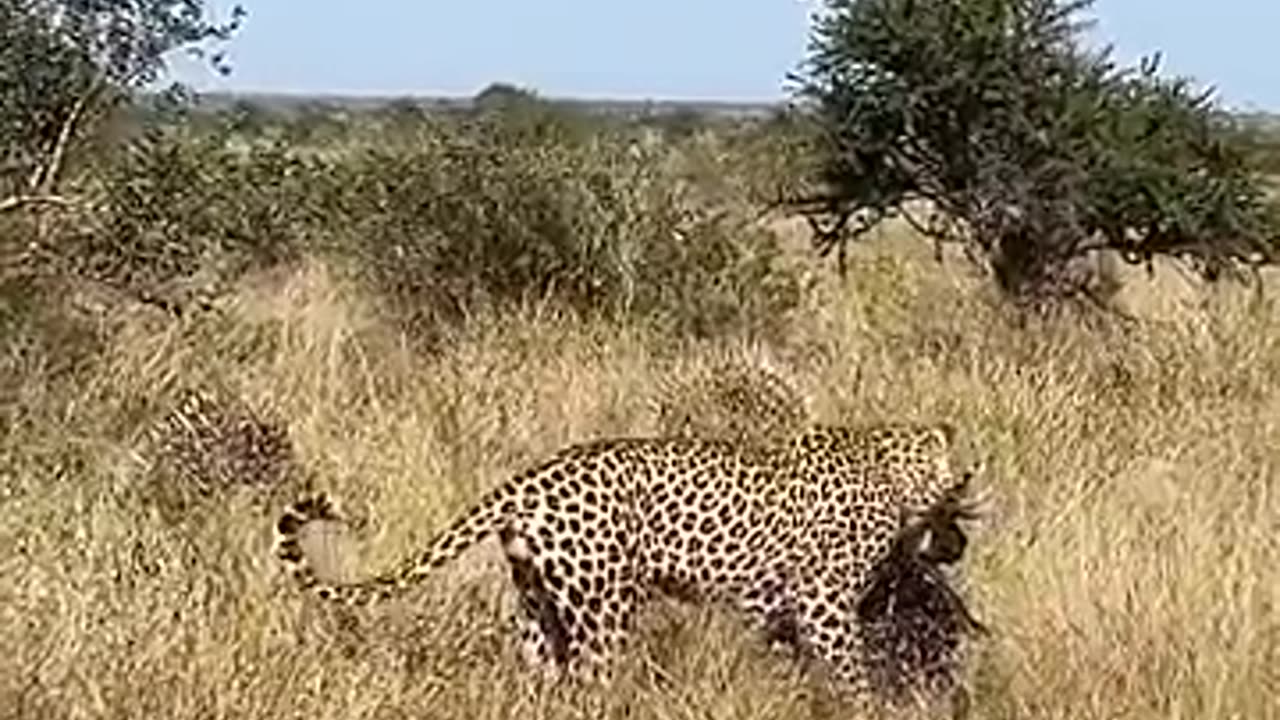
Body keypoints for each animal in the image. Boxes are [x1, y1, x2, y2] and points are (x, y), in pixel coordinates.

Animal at [272, 420, 977, 702]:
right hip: (605, 609)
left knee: (544, 682)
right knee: (592, 685)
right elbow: (853, 676)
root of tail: (532, 476)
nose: (961, 546)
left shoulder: (781, 613)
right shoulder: (824, 607)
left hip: (540, 609)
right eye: (962, 504)